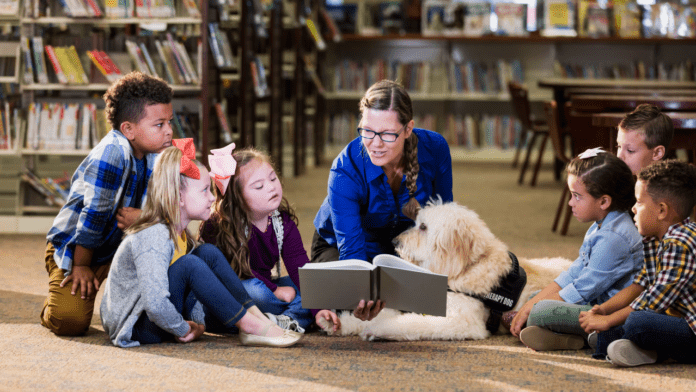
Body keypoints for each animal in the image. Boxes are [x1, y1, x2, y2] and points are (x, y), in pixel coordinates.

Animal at [318, 201, 572, 342]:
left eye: (423, 227)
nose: (395, 241)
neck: (466, 269)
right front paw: (336, 323)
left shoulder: (462, 321)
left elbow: (410, 323)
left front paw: (377, 329)